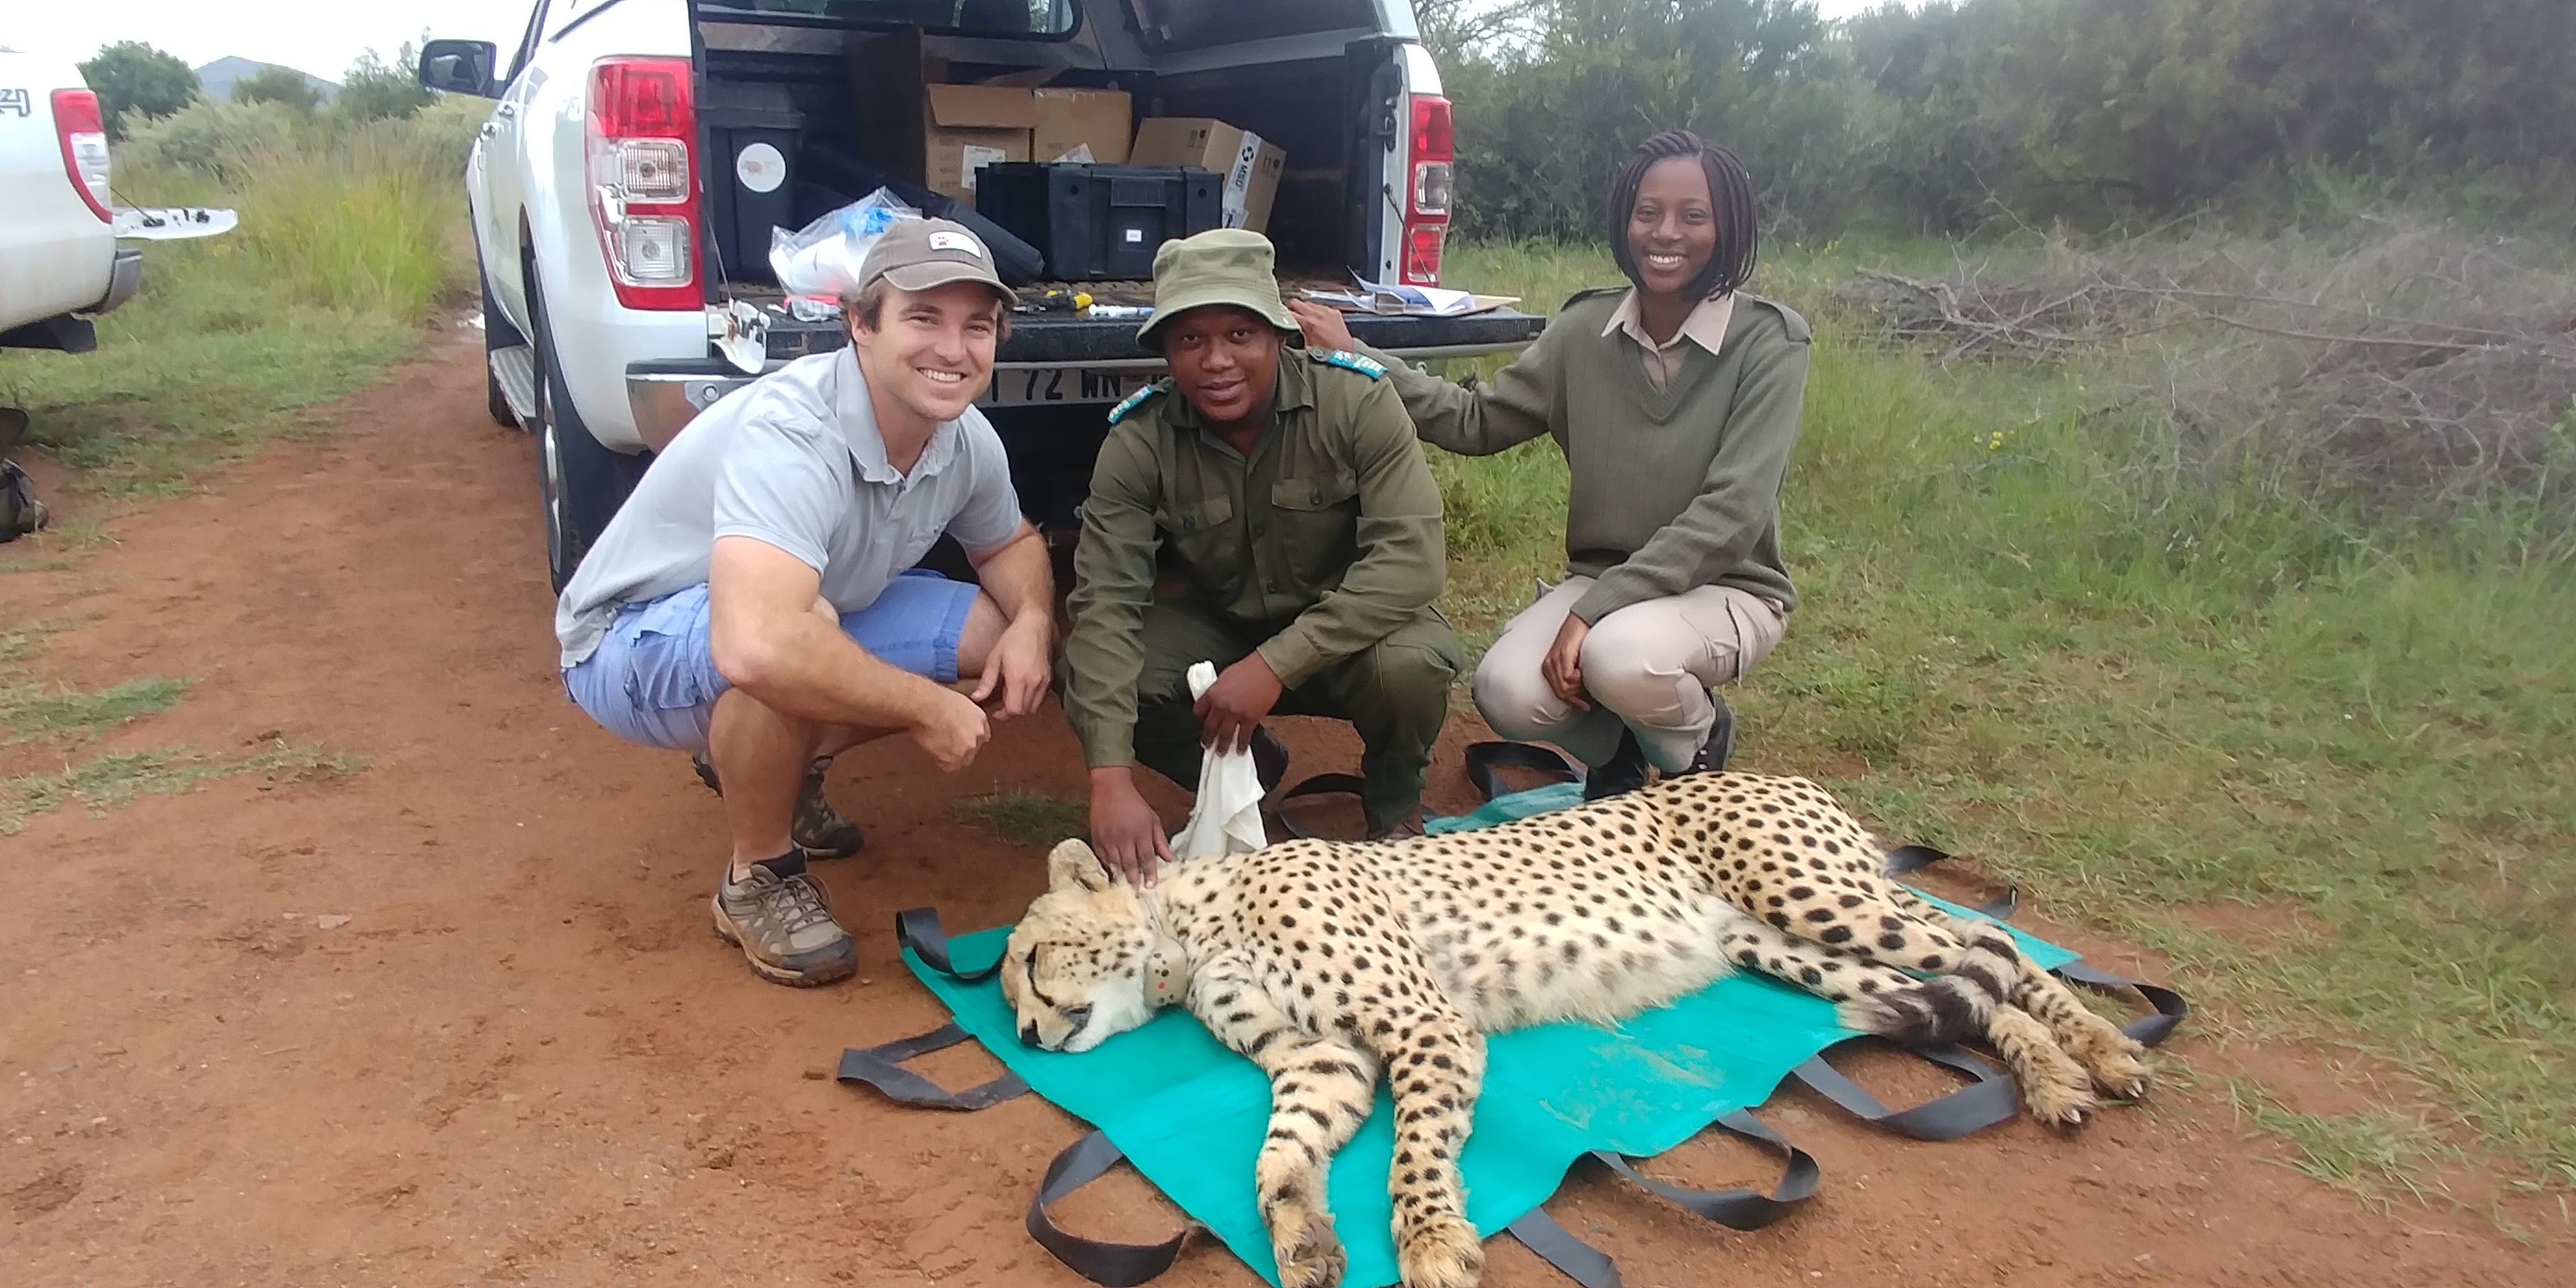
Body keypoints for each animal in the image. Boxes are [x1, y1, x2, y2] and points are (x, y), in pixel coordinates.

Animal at [1004, 767, 2153, 1288]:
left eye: (1029, 962)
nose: (1023, 1036)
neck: (1189, 929)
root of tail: (1780, 772)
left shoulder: (1425, 1025)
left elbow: (1415, 1154)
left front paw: (1432, 1243)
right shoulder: (1321, 1057)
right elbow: (1280, 1155)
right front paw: (1304, 1236)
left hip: (1818, 894)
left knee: (1986, 941)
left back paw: (2099, 1050)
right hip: (1786, 947)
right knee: (1961, 980)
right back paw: (2053, 1073)